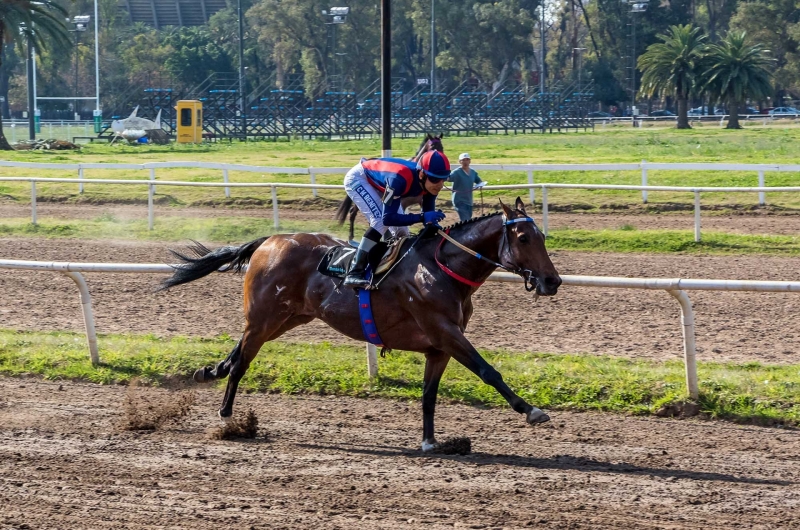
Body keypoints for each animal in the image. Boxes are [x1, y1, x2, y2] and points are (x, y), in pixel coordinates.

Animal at [161, 198, 564, 450]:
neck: (443, 268)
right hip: (266, 317)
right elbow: (488, 371)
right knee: (242, 362)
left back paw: (209, 371)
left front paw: (430, 441)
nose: (552, 281)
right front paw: (532, 411)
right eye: (523, 237)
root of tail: (270, 240)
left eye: (542, 236)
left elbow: (429, 395)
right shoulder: (446, 333)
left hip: (288, 318)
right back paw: (227, 416)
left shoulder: (439, 347)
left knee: (239, 348)